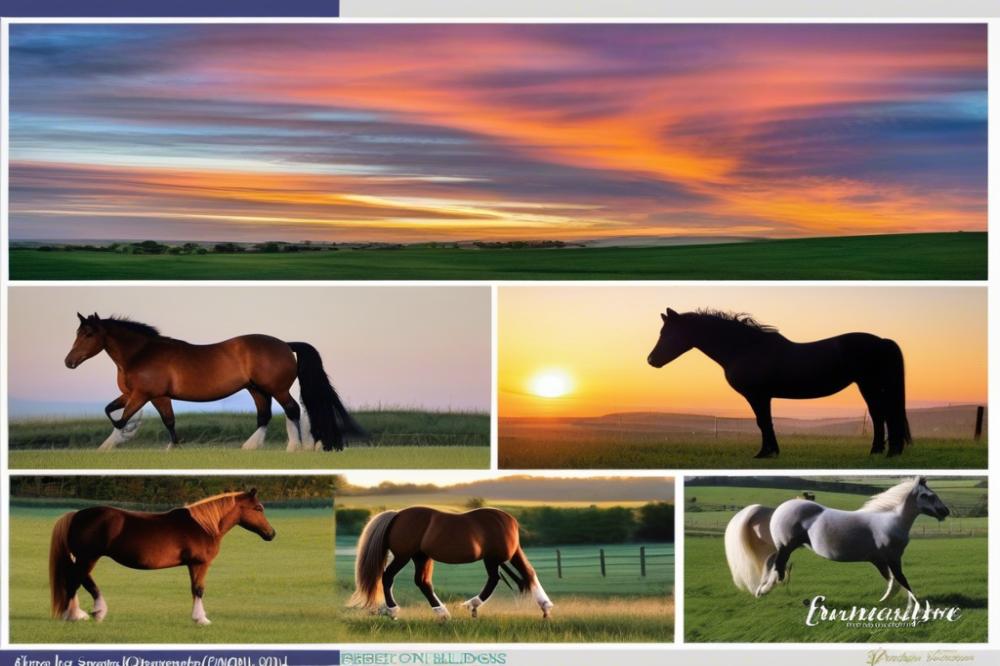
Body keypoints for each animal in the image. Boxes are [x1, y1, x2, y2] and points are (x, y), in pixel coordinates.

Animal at [49, 489, 276, 625]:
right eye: (258, 508)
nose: (271, 533)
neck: (203, 526)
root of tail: (77, 514)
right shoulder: (199, 563)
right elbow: (198, 589)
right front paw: (201, 619)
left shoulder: (192, 565)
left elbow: (195, 589)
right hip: (88, 557)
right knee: (75, 581)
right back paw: (75, 615)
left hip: (85, 558)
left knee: (83, 581)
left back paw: (95, 612)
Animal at [64, 313, 367, 452]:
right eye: (78, 333)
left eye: (89, 334)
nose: (69, 362)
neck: (141, 354)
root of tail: (284, 344)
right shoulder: (141, 395)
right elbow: (117, 412)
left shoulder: (146, 394)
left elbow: (125, 419)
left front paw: (121, 438)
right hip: (257, 390)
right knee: (265, 415)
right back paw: (251, 447)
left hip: (276, 388)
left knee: (292, 410)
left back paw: (298, 447)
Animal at [349, 506, 553, 620]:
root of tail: (397, 515)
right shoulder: (494, 558)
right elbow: (497, 579)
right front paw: (471, 607)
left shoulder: (506, 555)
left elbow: (527, 573)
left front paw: (545, 608)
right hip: (403, 556)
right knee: (388, 577)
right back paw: (393, 611)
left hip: (421, 557)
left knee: (422, 582)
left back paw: (442, 613)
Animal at [647, 308, 911, 458]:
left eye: (668, 333)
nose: (651, 360)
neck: (745, 348)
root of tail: (882, 341)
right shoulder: (763, 396)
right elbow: (766, 422)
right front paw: (771, 451)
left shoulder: (758, 395)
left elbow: (763, 422)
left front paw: (765, 453)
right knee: (881, 415)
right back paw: (881, 451)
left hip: (870, 384)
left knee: (883, 415)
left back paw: (887, 452)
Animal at [725, 477, 949, 611]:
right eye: (927, 495)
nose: (945, 511)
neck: (890, 520)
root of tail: (775, 510)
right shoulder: (892, 557)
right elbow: (901, 580)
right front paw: (918, 606)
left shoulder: (879, 559)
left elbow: (893, 582)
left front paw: (889, 600)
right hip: (786, 547)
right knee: (778, 568)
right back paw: (766, 590)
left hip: (779, 548)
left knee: (770, 565)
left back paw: (760, 591)